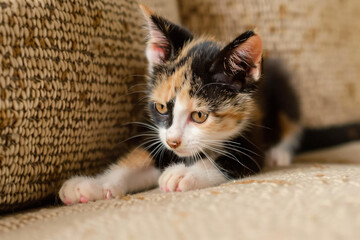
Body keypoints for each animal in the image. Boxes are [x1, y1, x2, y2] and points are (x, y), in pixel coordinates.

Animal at [59, 5, 300, 204]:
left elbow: (225, 161)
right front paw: (93, 185)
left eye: (199, 116)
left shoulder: (251, 139)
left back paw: (278, 154)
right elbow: (134, 163)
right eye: (161, 108)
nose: (173, 142)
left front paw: (186, 173)